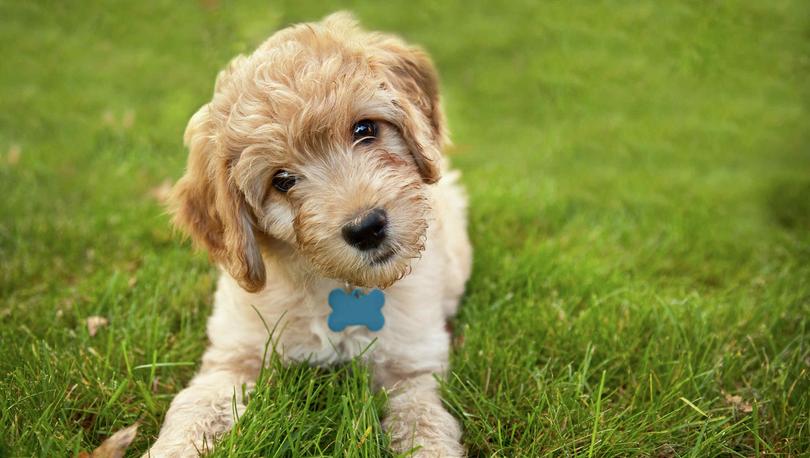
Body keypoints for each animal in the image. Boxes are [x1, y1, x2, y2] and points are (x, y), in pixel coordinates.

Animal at [148, 11, 470, 458]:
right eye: (282, 181)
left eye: (364, 129)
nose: (367, 228)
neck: (336, 284)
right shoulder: (235, 354)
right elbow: (197, 404)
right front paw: (174, 446)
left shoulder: (412, 367)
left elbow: (424, 423)